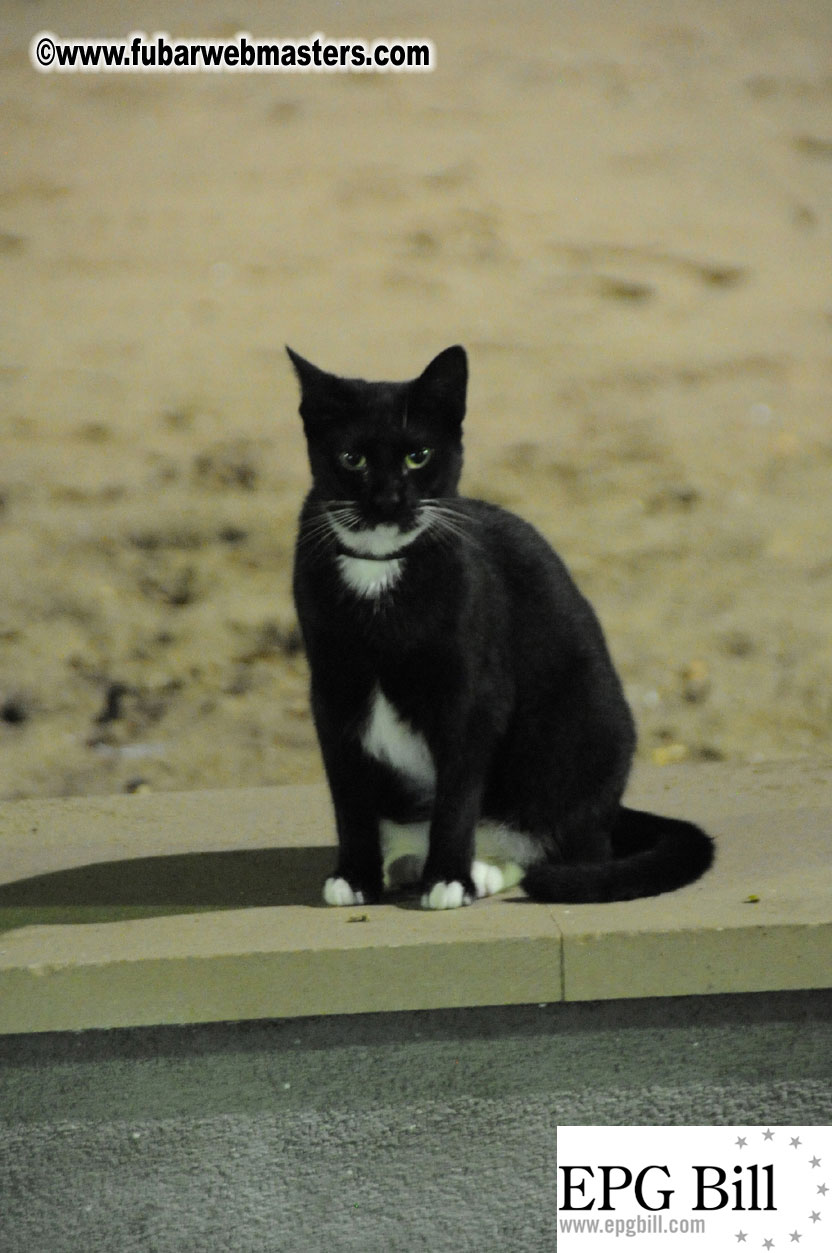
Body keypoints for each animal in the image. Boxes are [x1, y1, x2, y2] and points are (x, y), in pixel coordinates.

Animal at [289, 343, 711, 912]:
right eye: (351, 459)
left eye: (418, 456)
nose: (387, 499)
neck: (378, 579)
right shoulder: (333, 691)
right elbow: (348, 795)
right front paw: (355, 875)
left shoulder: (471, 694)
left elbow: (457, 797)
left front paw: (449, 879)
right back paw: (403, 863)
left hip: (579, 736)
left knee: (571, 848)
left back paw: (482, 869)